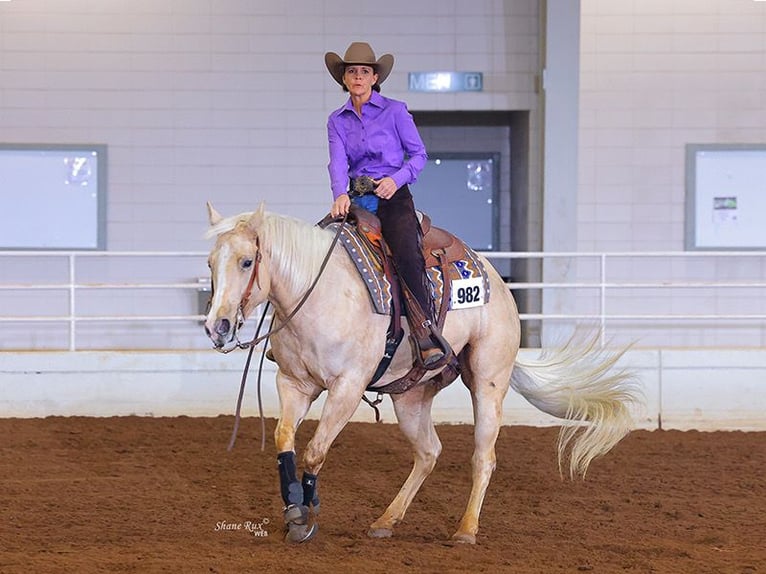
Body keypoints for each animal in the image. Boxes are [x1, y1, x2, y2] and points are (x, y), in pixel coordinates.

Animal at [203, 202, 642, 544]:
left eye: (247, 261)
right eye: (210, 263)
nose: (216, 326)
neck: (320, 293)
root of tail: (497, 283)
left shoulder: (347, 387)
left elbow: (315, 451)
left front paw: (307, 515)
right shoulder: (294, 384)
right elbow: (284, 442)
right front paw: (293, 510)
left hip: (488, 383)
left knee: (483, 457)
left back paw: (465, 529)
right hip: (410, 397)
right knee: (429, 452)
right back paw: (385, 520)